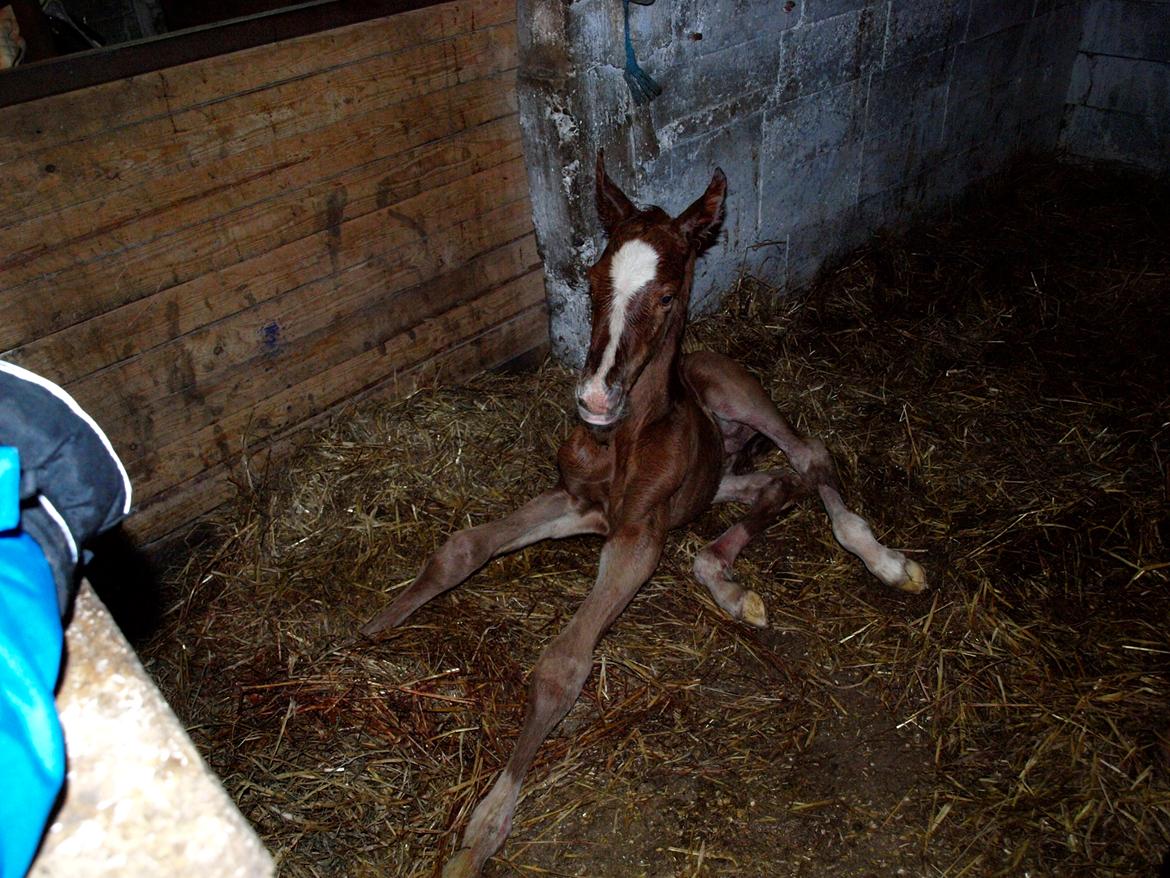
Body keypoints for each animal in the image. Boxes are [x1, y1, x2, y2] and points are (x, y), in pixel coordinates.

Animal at [360, 154, 926, 875]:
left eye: (666, 294)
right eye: (593, 279)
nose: (596, 398)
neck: (626, 438)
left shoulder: (636, 537)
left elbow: (562, 665)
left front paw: (484, 826)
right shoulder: (579, 505)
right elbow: (463, 546)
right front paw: (374, 625)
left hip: (743, 394)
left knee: (811, 456)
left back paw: (885, 560)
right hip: (720, 482)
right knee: (774, 487)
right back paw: (730, 587)